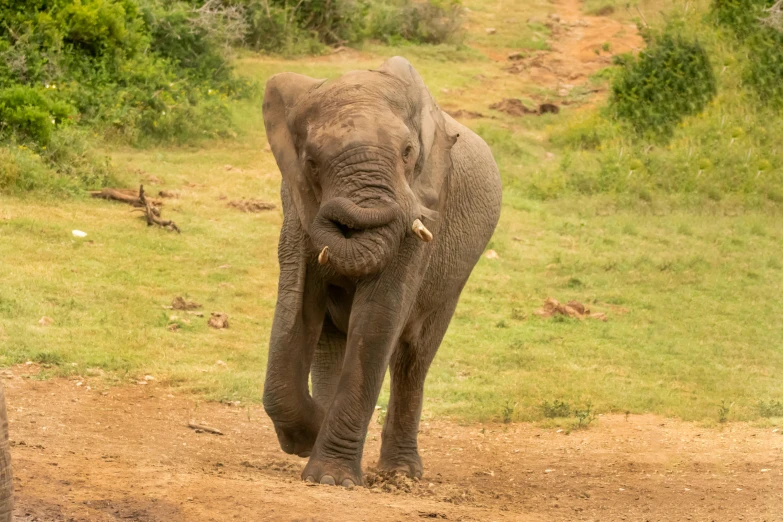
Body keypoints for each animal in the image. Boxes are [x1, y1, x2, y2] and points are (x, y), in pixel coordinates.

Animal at [264, 54, 502, 486]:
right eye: (311, 163)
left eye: (408, 152)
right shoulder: (296, 209)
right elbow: (296, 306)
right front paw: (310, 443)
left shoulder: (426, 206)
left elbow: (379, 315)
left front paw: (331, 479)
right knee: (330, 344)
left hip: (454, 279)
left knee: (413, 358)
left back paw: (401, 474)